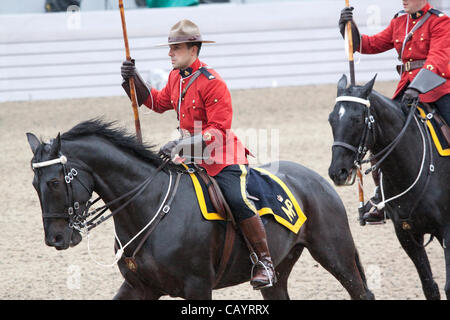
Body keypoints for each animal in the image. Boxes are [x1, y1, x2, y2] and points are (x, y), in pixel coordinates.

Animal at [26, 119, 374, 298]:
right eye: (33, 183)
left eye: (54, 182)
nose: (55, 239)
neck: (151, 207)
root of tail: (318, 179)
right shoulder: (139, 287)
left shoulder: (197, 288)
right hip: (281, 269)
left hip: (336, 254)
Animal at [326, 75, 450, 300]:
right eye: (331, 119)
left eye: (357, 119)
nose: (337, 172)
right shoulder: (407, 234)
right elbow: (430, 287)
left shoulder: (447, 231)